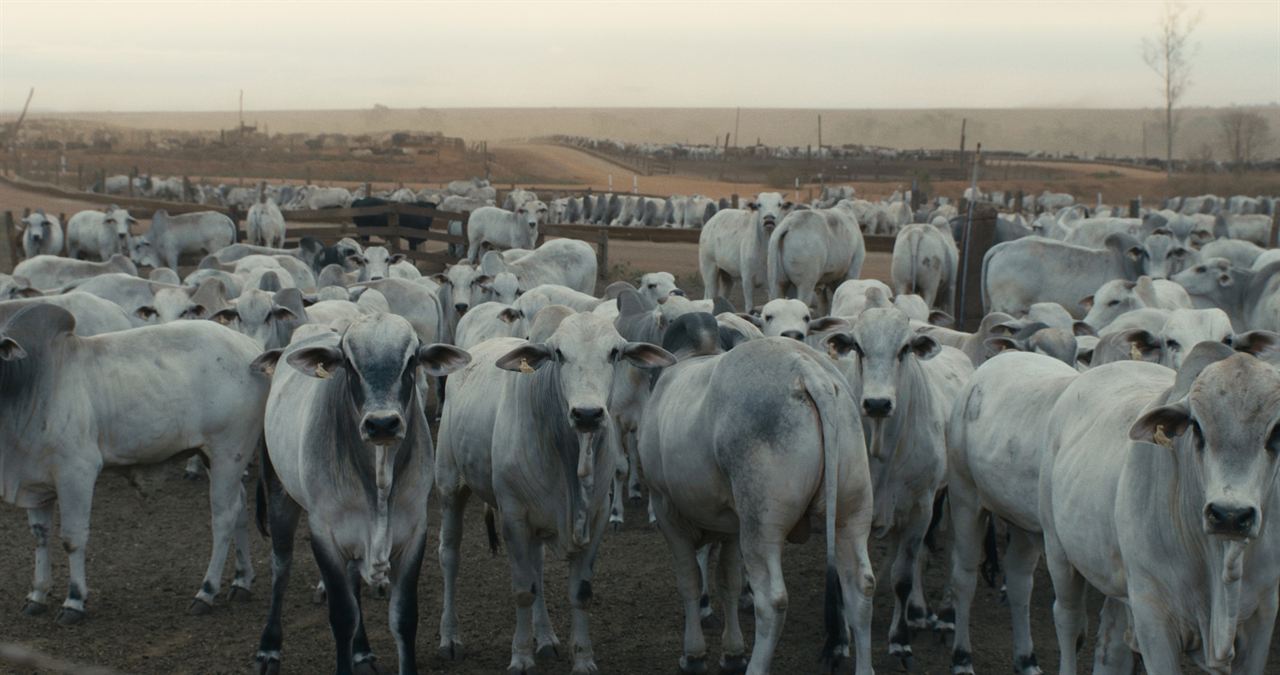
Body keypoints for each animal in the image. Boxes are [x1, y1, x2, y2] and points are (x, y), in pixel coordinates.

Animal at [0, 303, 270, 625]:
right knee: (239, 507)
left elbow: (72, 538)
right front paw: (37, 595)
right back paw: (241, 581)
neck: (35, 380)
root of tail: (250, 347)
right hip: (215, 458)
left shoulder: (76, 473)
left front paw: (74, 600)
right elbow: (41, 537)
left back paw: (206, 591)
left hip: (229, 452)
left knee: (224, 516)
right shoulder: (36, 482)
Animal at [249, 315, 471, 675]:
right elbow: (342, 617)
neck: (378, 481)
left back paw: (362, 651)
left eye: (411, 360)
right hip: (279, 494)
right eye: (349, 365)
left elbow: (403, 618)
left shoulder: (414, 533)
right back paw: (269, 648)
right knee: (280, 566)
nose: (382, 424)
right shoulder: (325, 535)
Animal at [435, 313, 675, 671]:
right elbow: (523, 589)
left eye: (614, 353)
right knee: (450, 555)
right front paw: (520, 657)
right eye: (559, 354)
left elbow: (579, 592)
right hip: (450, 486)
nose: (587, 414)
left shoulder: (596, 518)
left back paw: (546, 638)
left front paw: (583, 659)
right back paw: (450, 638)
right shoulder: (513, 517)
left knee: (537, 565)